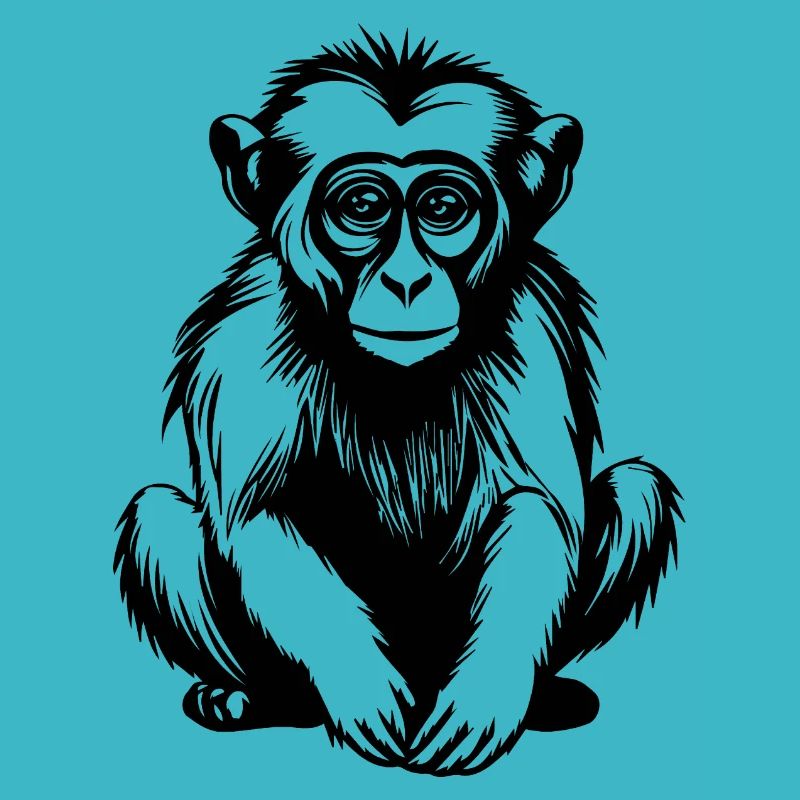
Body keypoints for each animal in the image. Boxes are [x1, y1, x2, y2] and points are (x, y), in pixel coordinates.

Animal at [114, 32, 682, 776]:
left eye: (442, 208)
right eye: (362, 206)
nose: (407, 280)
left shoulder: (533, 317)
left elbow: (538, 506)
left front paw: (486, 694)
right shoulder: (244, 334)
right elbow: (260, 512)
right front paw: (361, 684)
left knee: (637, 490)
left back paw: (548, 695)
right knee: (160, 521)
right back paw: (247, 696)